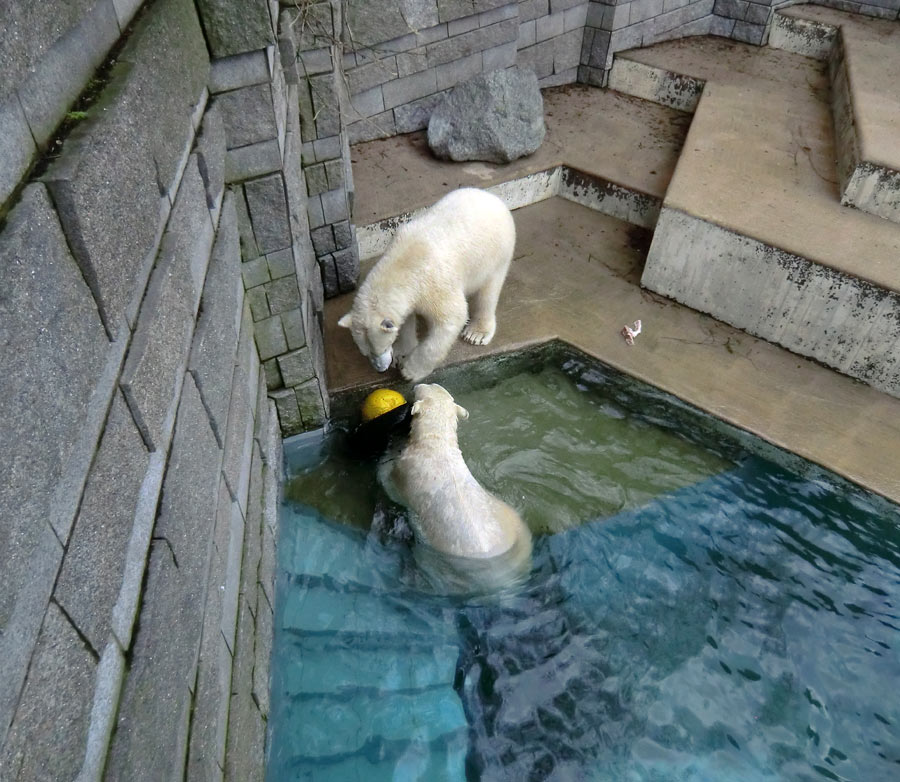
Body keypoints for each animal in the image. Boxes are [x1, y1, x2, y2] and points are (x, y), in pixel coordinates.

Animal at [338, 191, 516, 386]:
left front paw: (410, 370)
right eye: (366, 352)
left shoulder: (434, 283)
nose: (380, 369)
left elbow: (451, 319)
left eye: (380, 348)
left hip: (494, 254)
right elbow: (406, 320)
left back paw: (476, 333)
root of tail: (493, 197)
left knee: (488, 292)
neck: (403, 265)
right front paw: (402, 354)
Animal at [376, 386, 532, 596]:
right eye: (432, 385)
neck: (436, 444)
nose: (416, 385)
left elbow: (388, 481)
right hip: (516, 529)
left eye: (421, 389)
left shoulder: (404, 474)